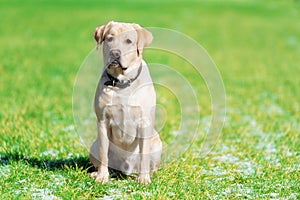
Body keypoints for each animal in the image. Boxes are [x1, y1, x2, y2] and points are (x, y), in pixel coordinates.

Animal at [89, 21, 162, 184]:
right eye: (109, 38)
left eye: (129, 41)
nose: (115, 53)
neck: (121, 83)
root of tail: (126, 170)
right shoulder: (102, 121)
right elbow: (103, 155)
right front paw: (102, 177)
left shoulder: (144, 122)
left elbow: (144, 155)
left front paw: (144, 179)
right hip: (94, 145)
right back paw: (97, 173)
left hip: (157, 143)